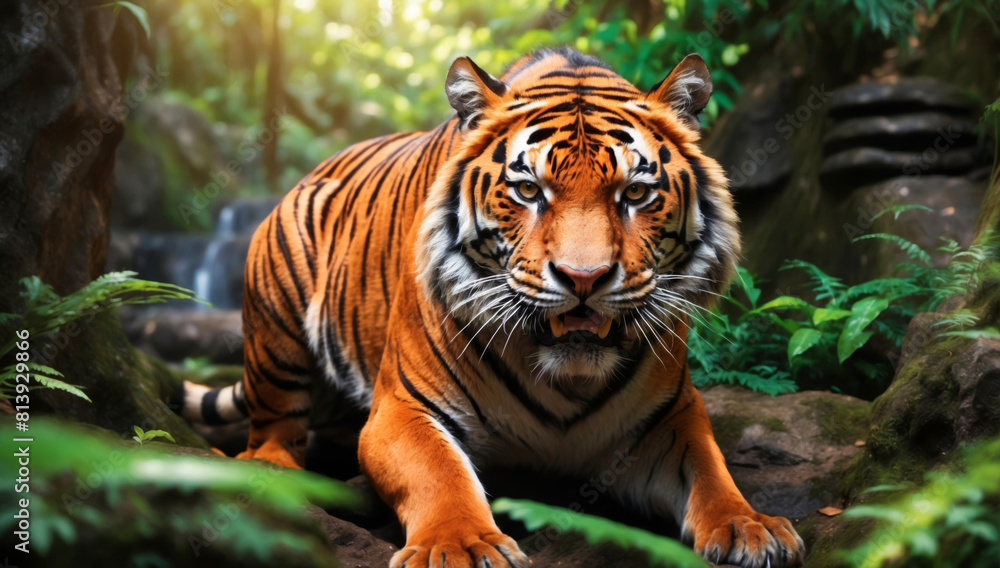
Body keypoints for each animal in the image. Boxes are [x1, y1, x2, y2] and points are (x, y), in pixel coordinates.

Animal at [176, 47, 806, 568]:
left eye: (635, 194)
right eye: (528, 191)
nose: (584, 278)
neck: (566, 377)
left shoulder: (669, 417)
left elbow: (710, 470)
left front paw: (749, 526)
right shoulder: (402, 407)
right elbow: (439, 474)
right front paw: (460, 545)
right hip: (274, 307)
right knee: (270, 430)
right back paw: (276, 473)